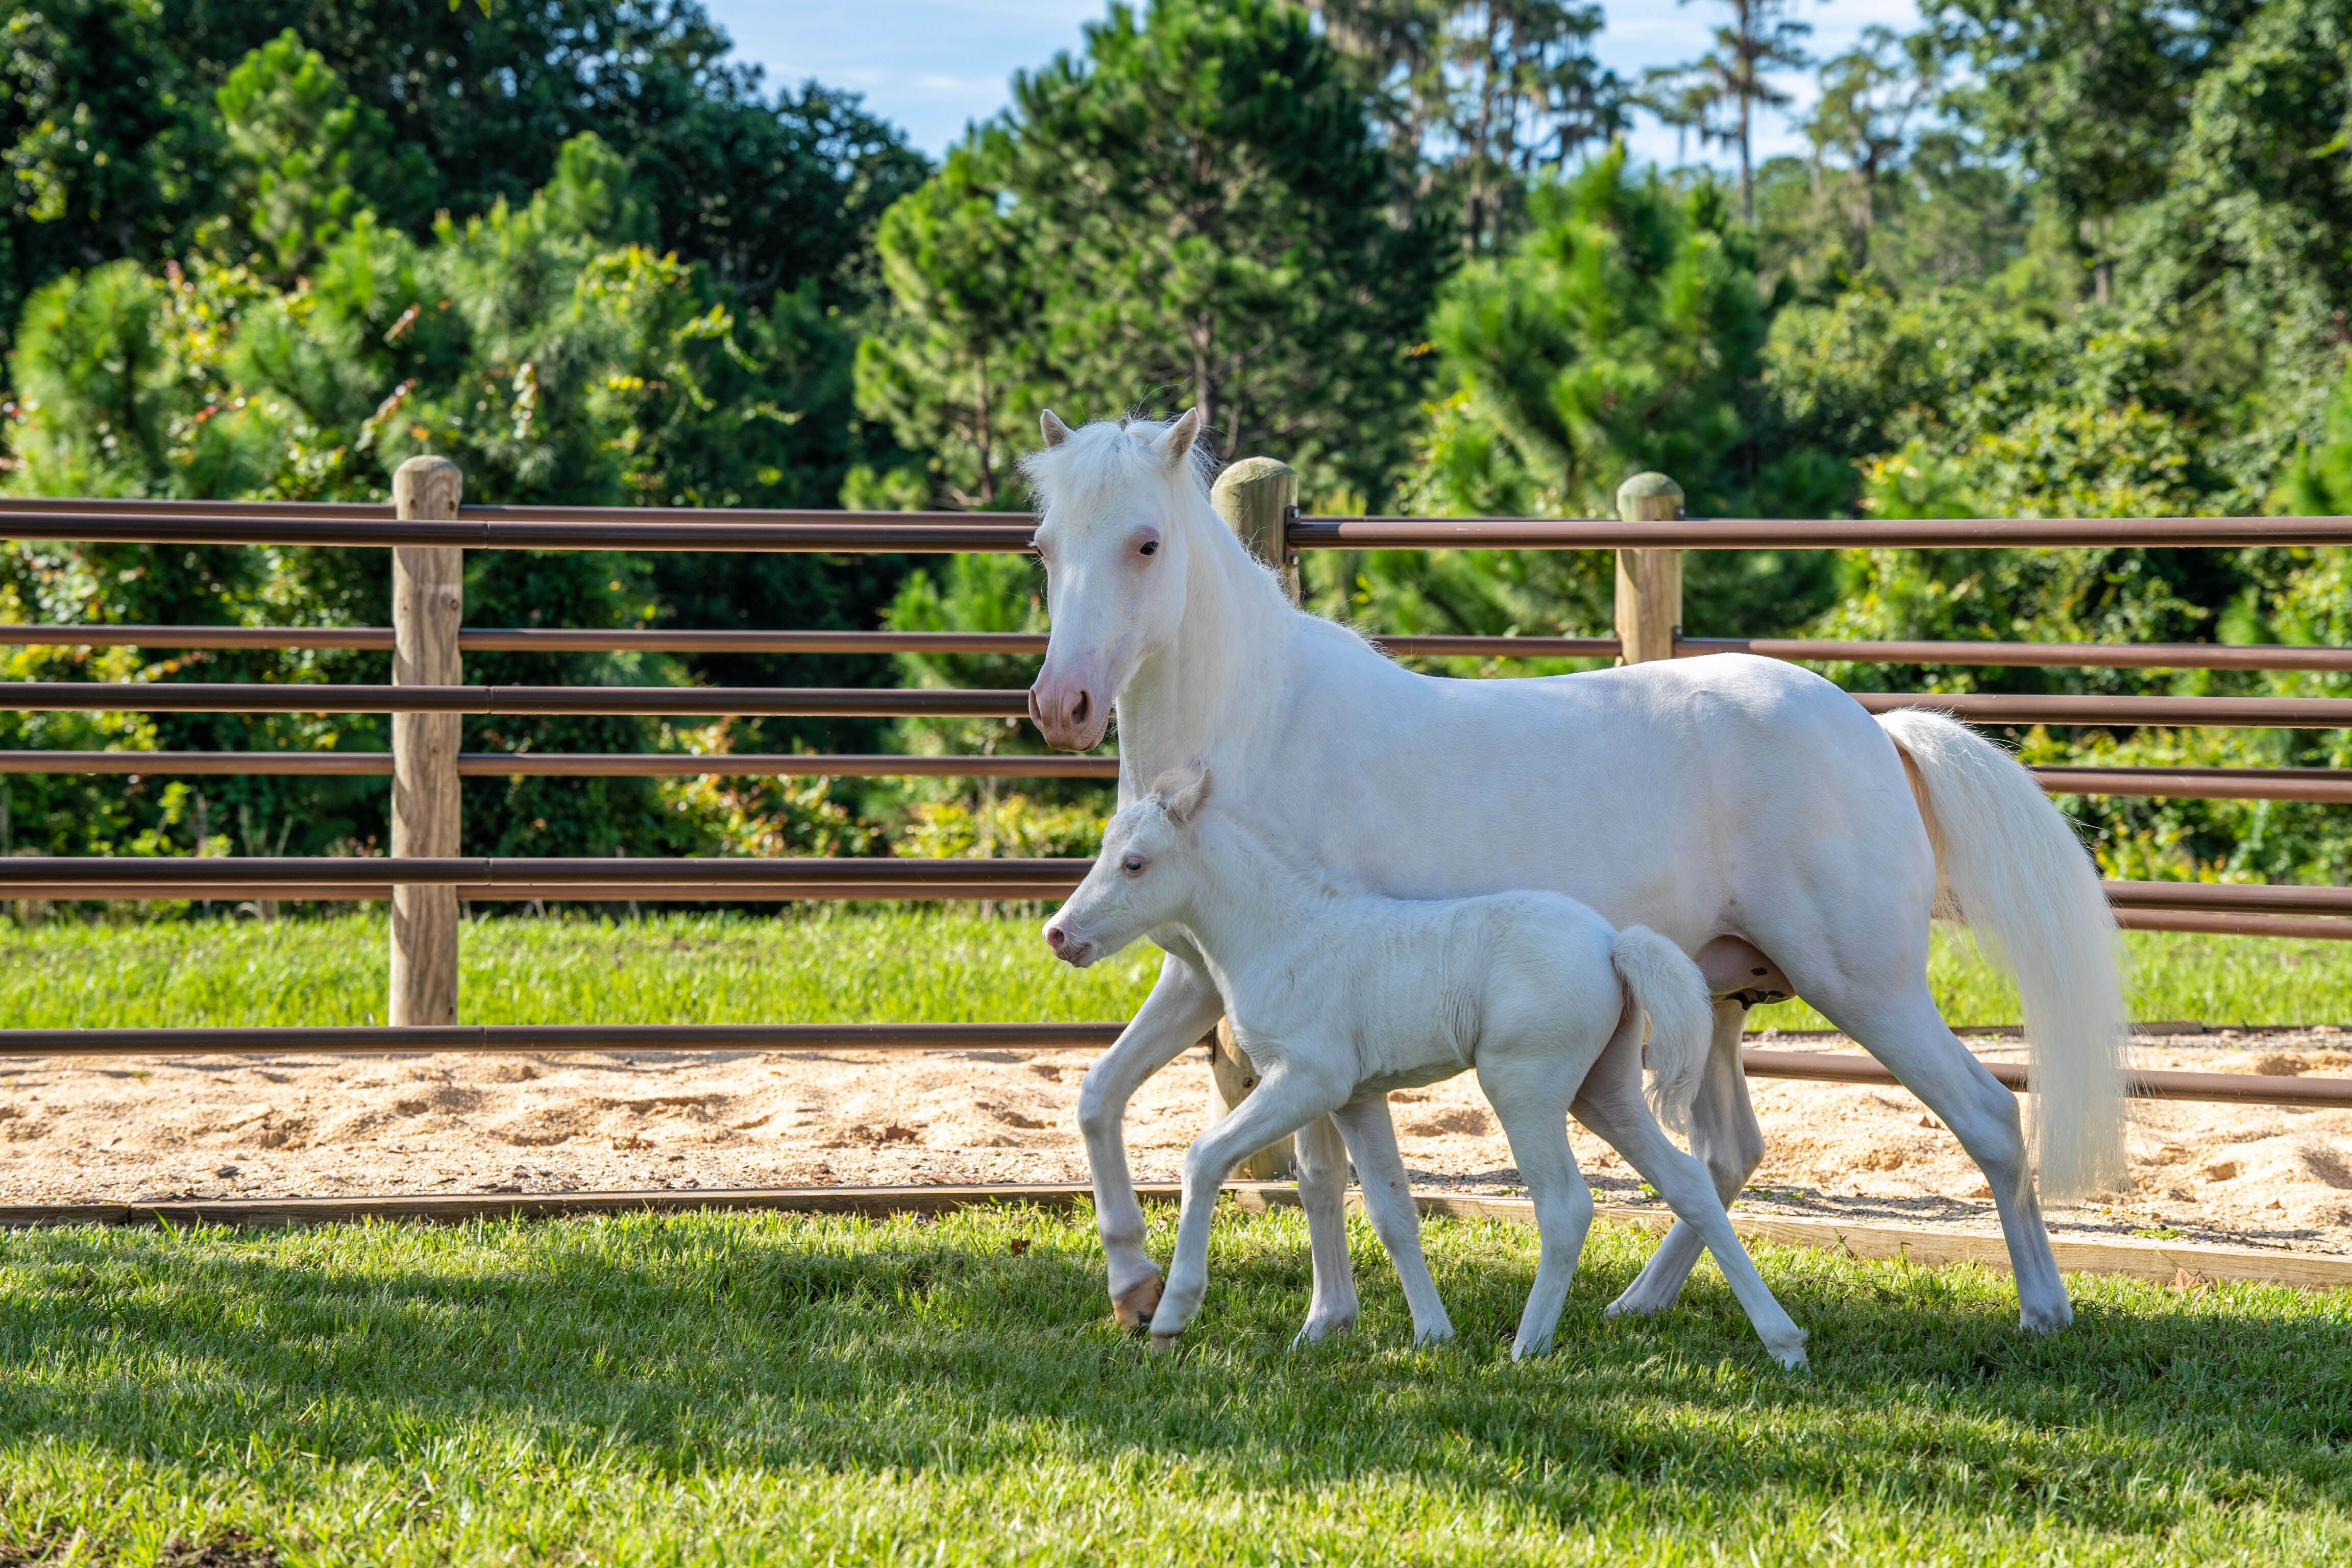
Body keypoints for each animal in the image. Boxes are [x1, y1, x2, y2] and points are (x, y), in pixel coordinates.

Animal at [1039, 766, 1806, 1363]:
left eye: (1135, 863)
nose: (1059, 935)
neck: (1286, 933)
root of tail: (1613, 943)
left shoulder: (1307, 1079)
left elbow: (1203, 1157)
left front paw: (1171, 1314)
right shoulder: (1354, 1096)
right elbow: (1391, 1210)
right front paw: (1432, 1333)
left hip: (1522, 1086)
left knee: (1566, 1205)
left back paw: (1529, 1346)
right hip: (1602, 1089)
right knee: (1688, 1182)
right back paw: (1783, 1342)